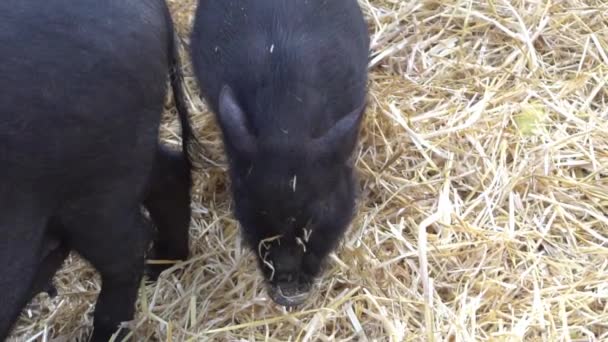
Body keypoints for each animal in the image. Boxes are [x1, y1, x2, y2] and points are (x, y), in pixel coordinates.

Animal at [0, 1, 194, 340]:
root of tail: (151, 6)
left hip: (96, 185)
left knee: (129, 250)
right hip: (128, 151)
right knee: (170, 173)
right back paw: (160, 268)